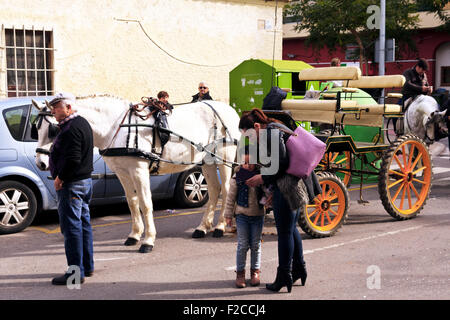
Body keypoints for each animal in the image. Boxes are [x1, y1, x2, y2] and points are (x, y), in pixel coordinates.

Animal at [32, 95, 241, 252]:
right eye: (36, 129)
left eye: (54, 129)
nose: (41, 163)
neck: (117, 127)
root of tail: (229, 109)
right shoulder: (122, 172)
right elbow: (132, 203)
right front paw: (134, 235)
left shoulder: (139, 171)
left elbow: (146, 204)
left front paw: (148, 240)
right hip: (207, 161)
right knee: (214, 190)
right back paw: (203, 227)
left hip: (223, 159)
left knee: (226, 190)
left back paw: (220, 227)